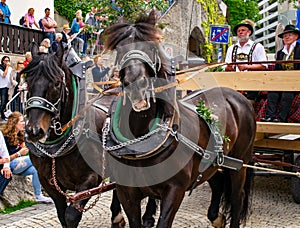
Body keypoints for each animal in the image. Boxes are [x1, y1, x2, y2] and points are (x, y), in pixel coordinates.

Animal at [21, 43, 126, 227]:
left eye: (57, 83)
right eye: (28, 82)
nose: (34, 131)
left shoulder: (91, 179)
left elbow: (71, 215)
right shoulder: (48, 182)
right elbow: (62, 215)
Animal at [102, 10, 255, 228]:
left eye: (151, 46)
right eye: (120, 49)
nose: (137, 86)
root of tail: (240, 97)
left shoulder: (174, 191)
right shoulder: (126, 192)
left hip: (239, 163)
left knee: (237, 198)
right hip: (214, 163)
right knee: (217, 185)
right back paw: (216, 217)